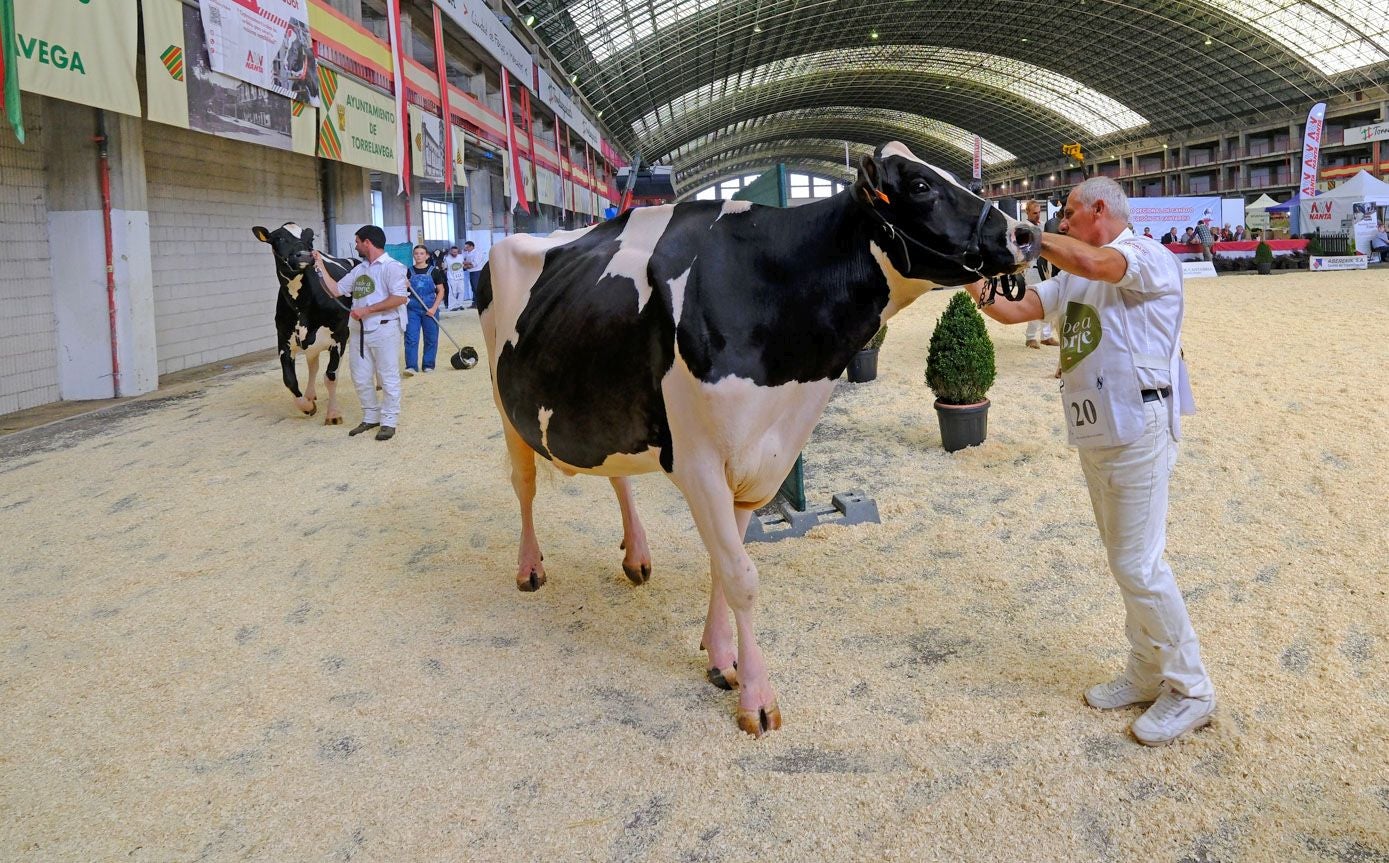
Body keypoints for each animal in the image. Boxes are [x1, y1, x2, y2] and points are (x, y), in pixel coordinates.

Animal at [252, 222, 358, 425]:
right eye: (278, 238)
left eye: (310, 239)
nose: (305, 255)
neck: (302, 305)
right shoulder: (284, 340)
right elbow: (289, 380)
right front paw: (307, 406)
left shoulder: (340, 336)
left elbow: (331, 375)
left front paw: (333, 414)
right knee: (313, 366)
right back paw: (310, 394)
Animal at [483, 141, 1038, 733]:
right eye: (919, 186)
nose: (1025, 234)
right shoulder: (699, 463)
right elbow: (741, 576)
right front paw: (756, 698)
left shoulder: (760, 461)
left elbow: (723, 568)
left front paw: (721, 657)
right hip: (503, 400)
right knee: (523, 483)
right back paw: (530, 568)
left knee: (617, 476)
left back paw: (637, 557)